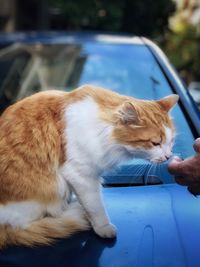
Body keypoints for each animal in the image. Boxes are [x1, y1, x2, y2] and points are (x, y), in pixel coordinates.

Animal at [0, 85, 178, 249]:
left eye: (171, 142)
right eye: (155, 143)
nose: (168, 156)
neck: (103, 130)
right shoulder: (81, 175)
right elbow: (96, 206)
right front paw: (103, 227)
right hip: (52, 190)